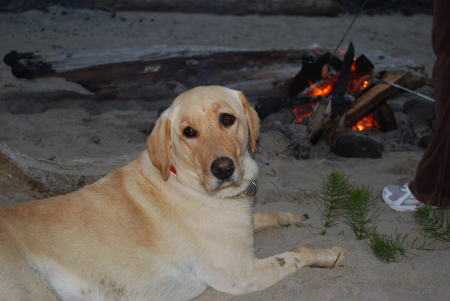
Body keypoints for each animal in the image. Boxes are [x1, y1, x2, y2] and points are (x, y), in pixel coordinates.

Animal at [0, 85, 342, 298]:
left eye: (227, 119)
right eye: (188, 132)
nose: (222, 169)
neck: (185, 180)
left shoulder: (244, 228)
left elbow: (265, 215)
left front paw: (291, 217)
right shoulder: (241, 274)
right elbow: (298, 252)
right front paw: (329, 253)